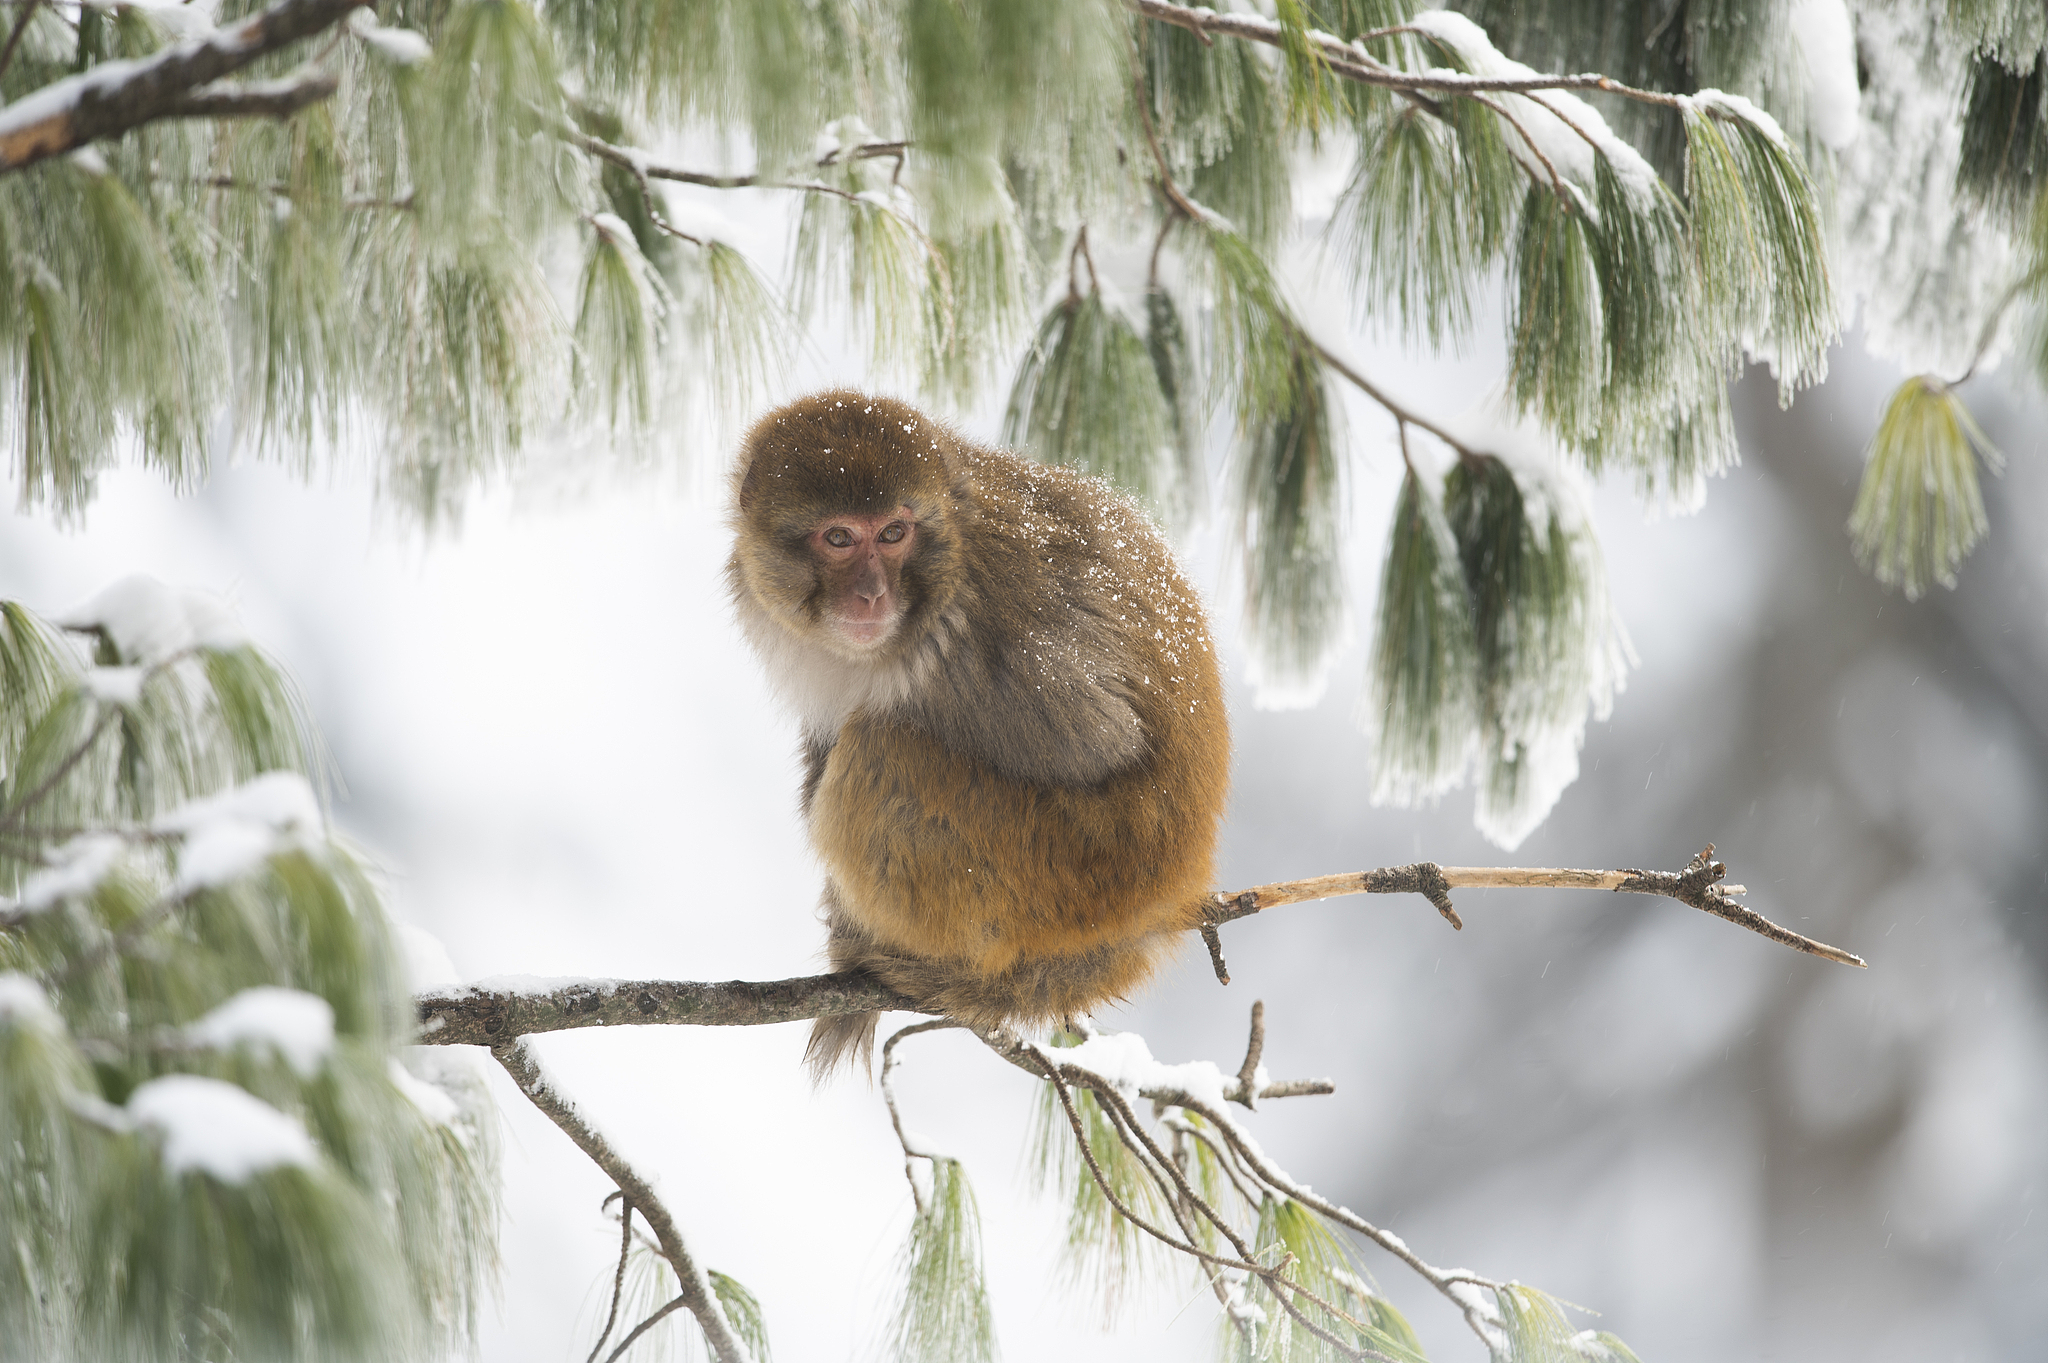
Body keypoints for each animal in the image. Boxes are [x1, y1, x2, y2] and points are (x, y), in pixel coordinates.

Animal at [726, 390, 1230, 1078]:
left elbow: (1104, 744)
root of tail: (1166, 898)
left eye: (893, 533)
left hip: (1064, 877)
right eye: (838, 537)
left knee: (877, 750)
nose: (870, 595)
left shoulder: (981, 633)